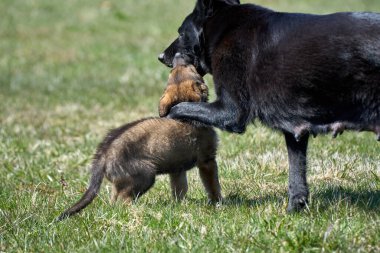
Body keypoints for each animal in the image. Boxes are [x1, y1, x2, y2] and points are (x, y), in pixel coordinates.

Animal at [57, 54, 221, 219]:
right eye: (191, 69)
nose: (178, 56)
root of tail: (103, 155)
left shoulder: (177, 169)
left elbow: (179, 189)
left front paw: (180, 206)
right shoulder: (207, 161)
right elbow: (213, 186)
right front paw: (218, 203)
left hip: (122, 182)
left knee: (114, 200)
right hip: (145, 175)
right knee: (124, 200)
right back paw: (141, 211)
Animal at [157, 0, 380, 211]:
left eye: (181, 33)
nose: (160, 56)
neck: (225, 29)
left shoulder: (229, 111)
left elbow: (177, 109)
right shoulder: (296, 130)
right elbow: (297, 173)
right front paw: (294, 210)